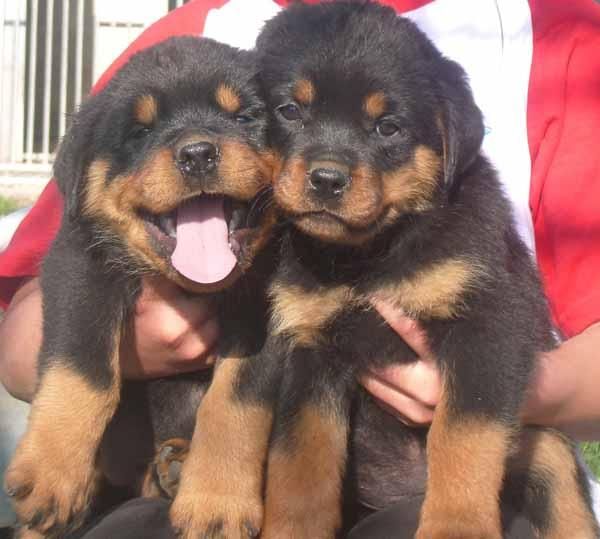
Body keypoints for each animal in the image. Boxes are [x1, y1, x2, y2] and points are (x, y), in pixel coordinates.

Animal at [4, 35, 276, 536]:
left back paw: (178, 468)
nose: (198, 154)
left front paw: (217, 500)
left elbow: (234, 401)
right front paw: (52, 471)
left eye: (243, 118)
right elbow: (82, 369)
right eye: (139, 133)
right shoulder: (80, 265)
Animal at [248, 4, 596, 539]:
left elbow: (463, 436)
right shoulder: (311, 346)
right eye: (289, 110)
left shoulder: (488, 323)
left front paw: (456, 526)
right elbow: (300, 461)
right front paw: (293, 529)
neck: (368, 255)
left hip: (547, 452)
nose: (326, 179)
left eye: (387, 127)